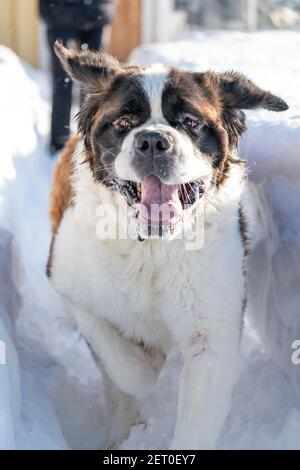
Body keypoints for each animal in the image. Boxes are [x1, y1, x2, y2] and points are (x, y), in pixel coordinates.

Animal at [47, 42, 288, 450]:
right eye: (123, 123)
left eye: (190, 122)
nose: (153, 141)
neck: (152, 247)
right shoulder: (70, 285)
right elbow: (126, 365)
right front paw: (147, 361)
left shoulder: (212, 335)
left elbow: (196, 418)